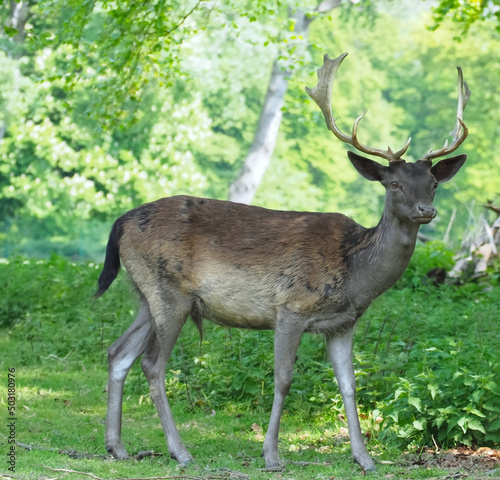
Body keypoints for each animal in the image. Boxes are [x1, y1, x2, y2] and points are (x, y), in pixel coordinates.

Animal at [94, 53, 468, 472]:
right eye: (394, 184)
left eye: (433, 184)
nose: (426, 210)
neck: (355, 275)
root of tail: (121, 221)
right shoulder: (291, 307)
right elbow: (284, 379)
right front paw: (272, 455)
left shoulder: (342, 323)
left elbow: (349, 384)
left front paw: (365, 458)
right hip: (168, 292)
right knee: (153, 364)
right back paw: (180, 450)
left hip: (145, 293)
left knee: (118, 352)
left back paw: (117, 447)